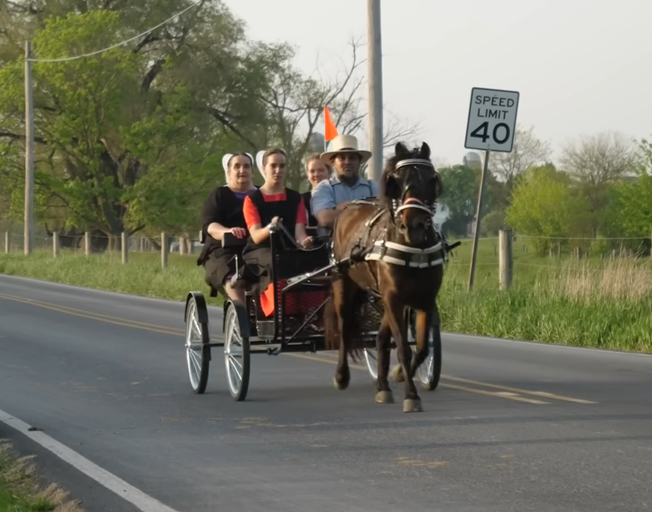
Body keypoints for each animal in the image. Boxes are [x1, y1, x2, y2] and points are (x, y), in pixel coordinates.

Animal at [324, 142, 446, 414]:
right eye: (396, 181)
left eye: (430, 179)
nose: (414, 225)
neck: (413, 248)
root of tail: (350, 207)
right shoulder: (394, 298)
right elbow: (403, 348)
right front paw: (411, 395)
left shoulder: (424, 300)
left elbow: (421, 347)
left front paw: (399, 374)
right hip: (344, 285)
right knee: (344, 327)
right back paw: (341, 376)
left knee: (380, 339)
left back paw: (382, 387)